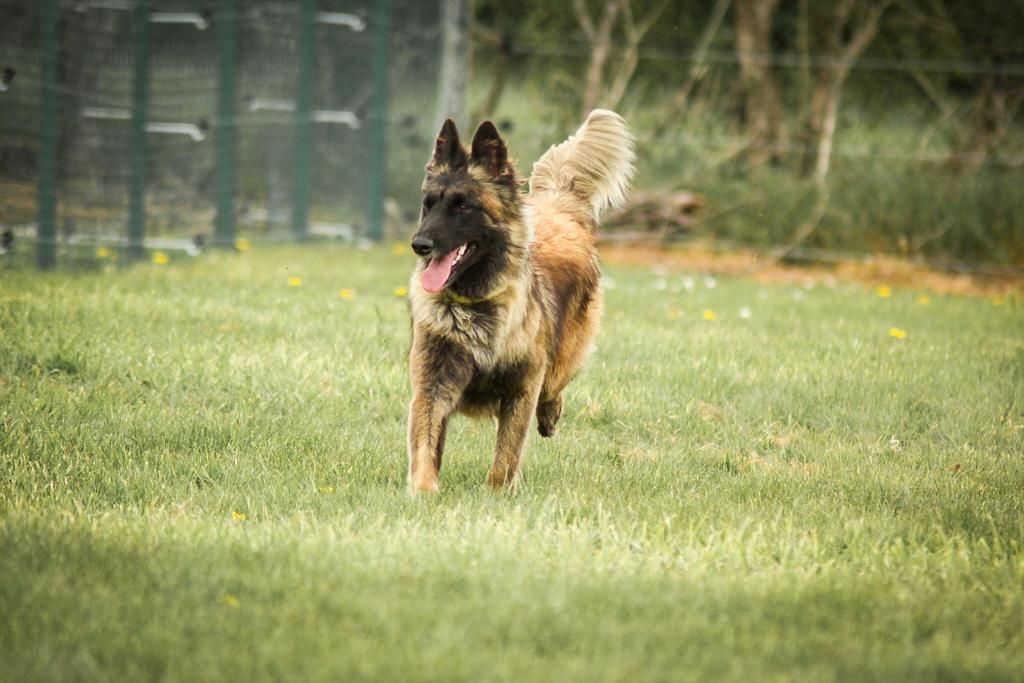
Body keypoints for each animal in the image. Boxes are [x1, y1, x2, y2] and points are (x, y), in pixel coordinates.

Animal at [405, 109, 630, 491]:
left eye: (463, 206)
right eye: (428, 205)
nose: (419, 245)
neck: (474, 306)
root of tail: (558, 205)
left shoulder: (521, 389)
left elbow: (507, 453)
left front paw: (497, 492)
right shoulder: (431, 386)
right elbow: (425, 445)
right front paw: (423, 491)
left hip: (563, 357)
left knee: (554, 389)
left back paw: (550, 416)